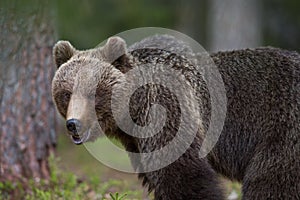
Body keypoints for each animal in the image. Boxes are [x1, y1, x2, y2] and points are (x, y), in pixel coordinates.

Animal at [51, 35, 300, 199]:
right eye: (66, 93)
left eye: (94, 92)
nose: (73, 124)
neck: (132, 111)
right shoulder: (138, 143)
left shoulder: (168, 111)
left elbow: (182, 174)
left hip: (283, 127)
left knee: (270, 181)